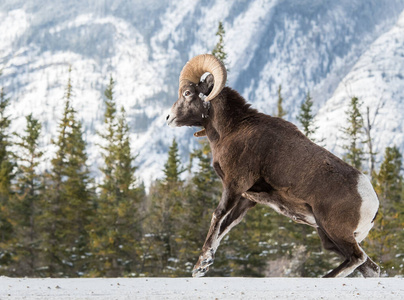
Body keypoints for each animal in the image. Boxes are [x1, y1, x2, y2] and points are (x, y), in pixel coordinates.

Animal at [165, 54, 378, 278]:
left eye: (187, 93)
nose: (169, 118)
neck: (232, 130)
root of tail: (371, 202)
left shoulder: (234, 186)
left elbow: (218, 215)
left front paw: (200, 265)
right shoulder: (246, 198)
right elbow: (227, 225)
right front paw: (206, 264)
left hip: (334, 231)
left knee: (357, 258)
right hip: (328, 236)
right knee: (370, 267)